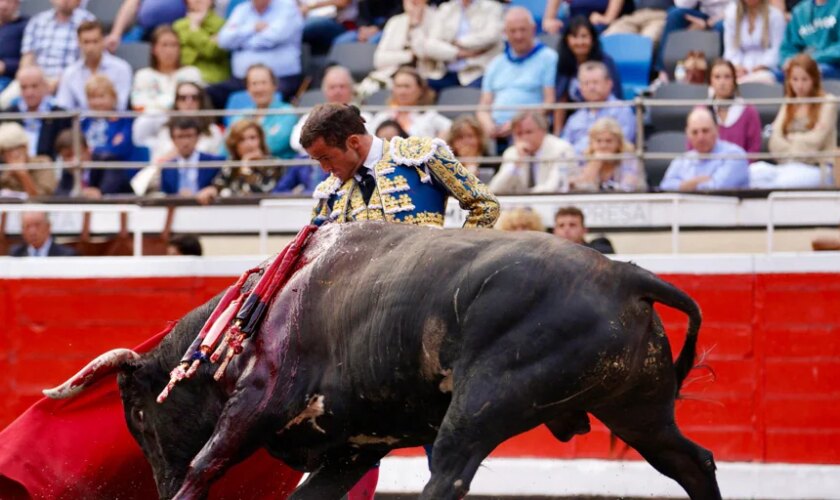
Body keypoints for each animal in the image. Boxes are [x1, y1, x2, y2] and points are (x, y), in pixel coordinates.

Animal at [49, 223, 724, 500]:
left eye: (137, 415)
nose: (156, 482)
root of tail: (626, 276)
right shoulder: (351, 447)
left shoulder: (258, 403)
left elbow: (205, 465)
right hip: (638, 408)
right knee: (690, 462)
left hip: (484, 403)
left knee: (449, 475)